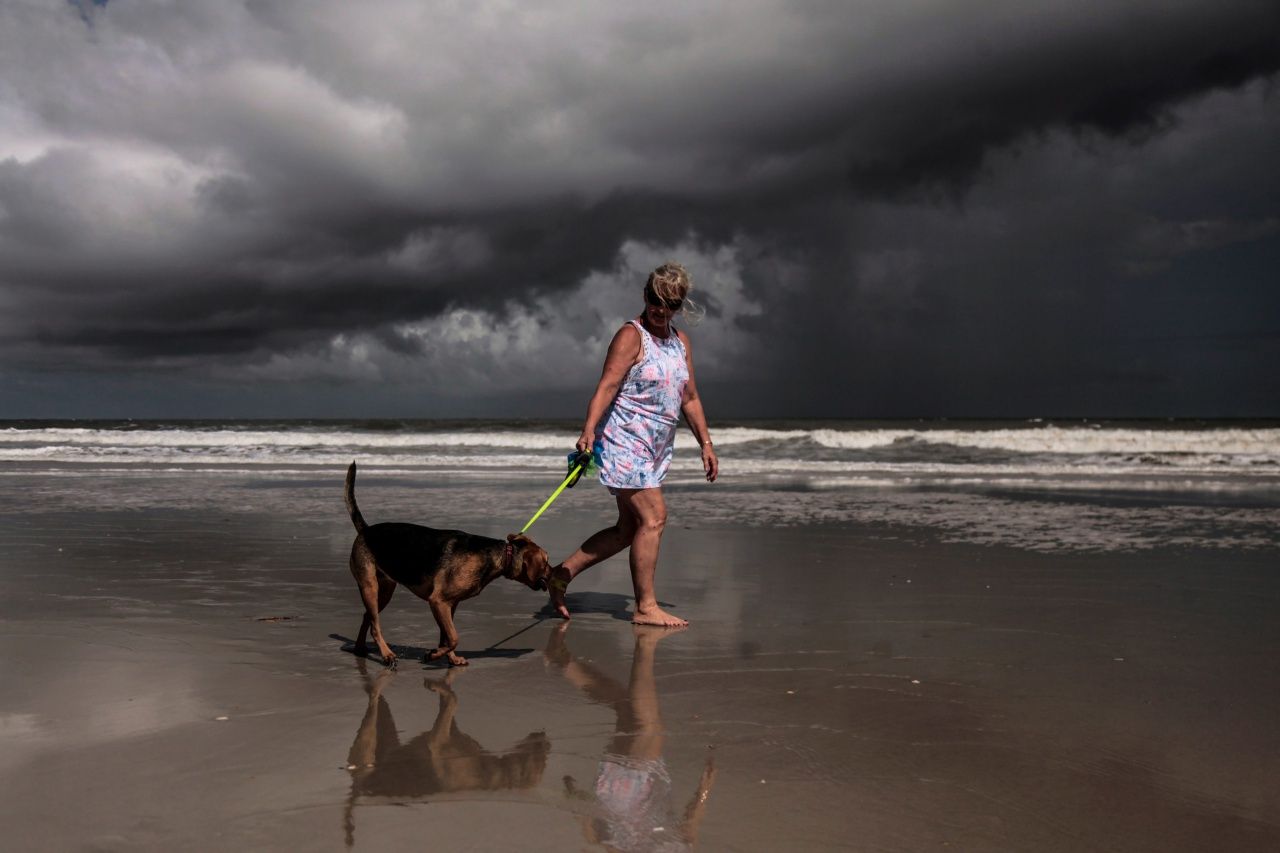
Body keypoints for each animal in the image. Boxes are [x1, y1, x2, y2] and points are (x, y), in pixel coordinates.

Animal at [343, 458, 547, 666]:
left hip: (384, 591)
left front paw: (449, 657)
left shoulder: (450, 604)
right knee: (375, 625)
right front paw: (434, 655)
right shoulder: (438, 601)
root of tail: (366, 530)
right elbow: (454, 637)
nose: (553, 572)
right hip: (370, 586)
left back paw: (360, 649)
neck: (501, 555)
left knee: (368, 617)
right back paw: (387, 654)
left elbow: (447, 637)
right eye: (546, 562)